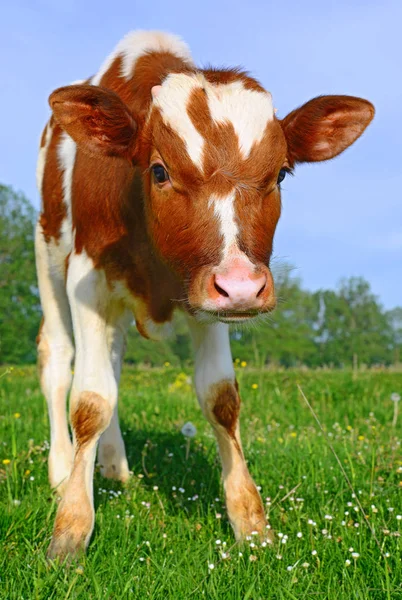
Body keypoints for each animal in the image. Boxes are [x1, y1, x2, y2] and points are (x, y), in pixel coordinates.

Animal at [36, 29, 376, 556]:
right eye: (159, 171)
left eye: (280, 174)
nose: (242, 286)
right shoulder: (86, 278)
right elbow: (90, 400)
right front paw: (71, 528)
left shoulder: (208, 300)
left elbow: (220, 398)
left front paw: (250, 523)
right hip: (48, 258)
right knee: (58, 360)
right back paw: (61, 469)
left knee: (113, 361)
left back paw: (113, 464)